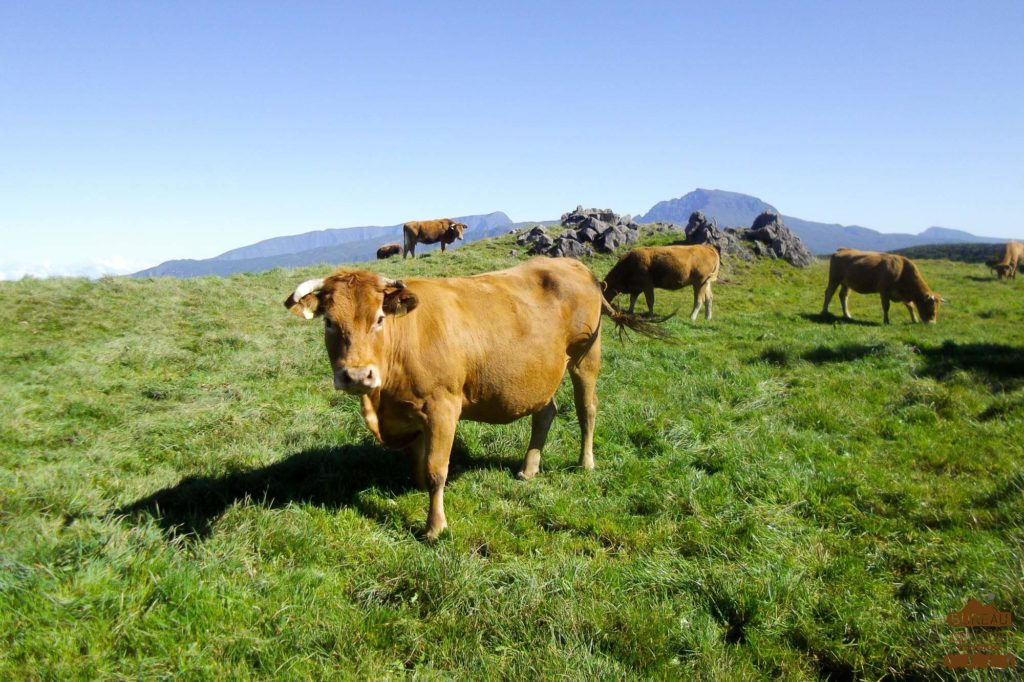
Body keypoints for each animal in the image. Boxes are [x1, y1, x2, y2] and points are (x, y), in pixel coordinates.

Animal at [286, 254, 671, 536]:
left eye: (379, 318)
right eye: (329, 323)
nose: (355, 375)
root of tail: (575, 265)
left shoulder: (443, 406)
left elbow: (436, 469)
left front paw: (435, 526)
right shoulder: (410, 411)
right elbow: (418, 460)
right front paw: (416, 490)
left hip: (585, 358)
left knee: (586, 409)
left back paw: (585, 463)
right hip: (541, 371)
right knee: (545, 413)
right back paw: (529, 469)